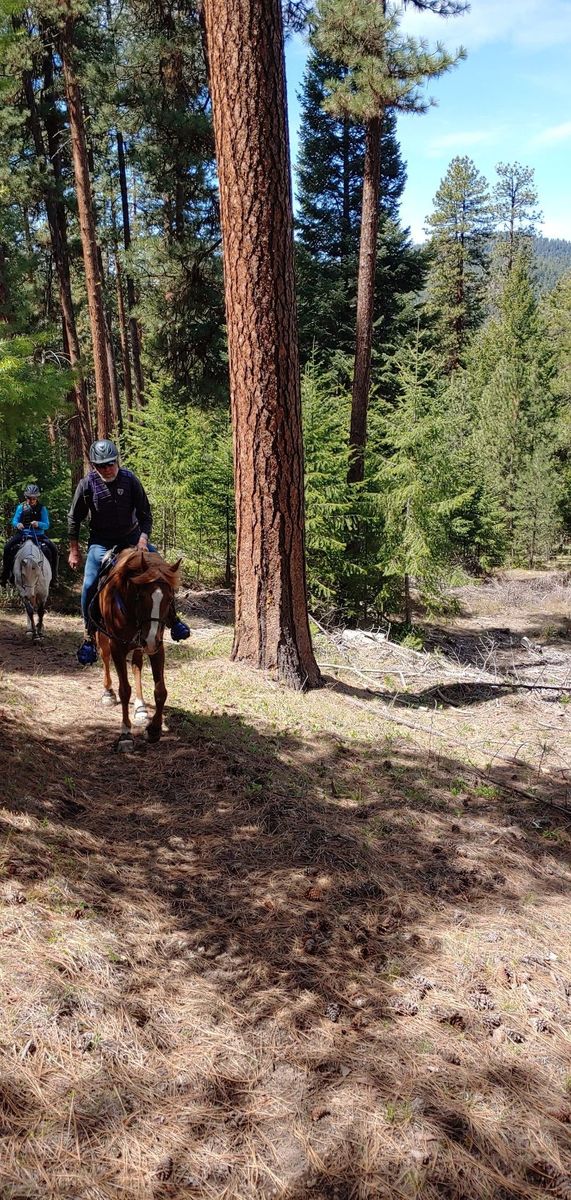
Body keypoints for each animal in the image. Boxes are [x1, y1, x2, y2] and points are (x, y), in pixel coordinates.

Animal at [93, 547, 181, 751]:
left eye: (170, 599)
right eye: (140, 596)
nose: (150, 640)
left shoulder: (157, 647)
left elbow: (161, 691)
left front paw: (154, 730)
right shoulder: (118, 647)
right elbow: (125, 690)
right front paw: (125, 734)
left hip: (142, 645)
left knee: (137, 665)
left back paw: (140, 706)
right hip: (104, 636)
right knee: (104, 656)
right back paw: (108, 692)